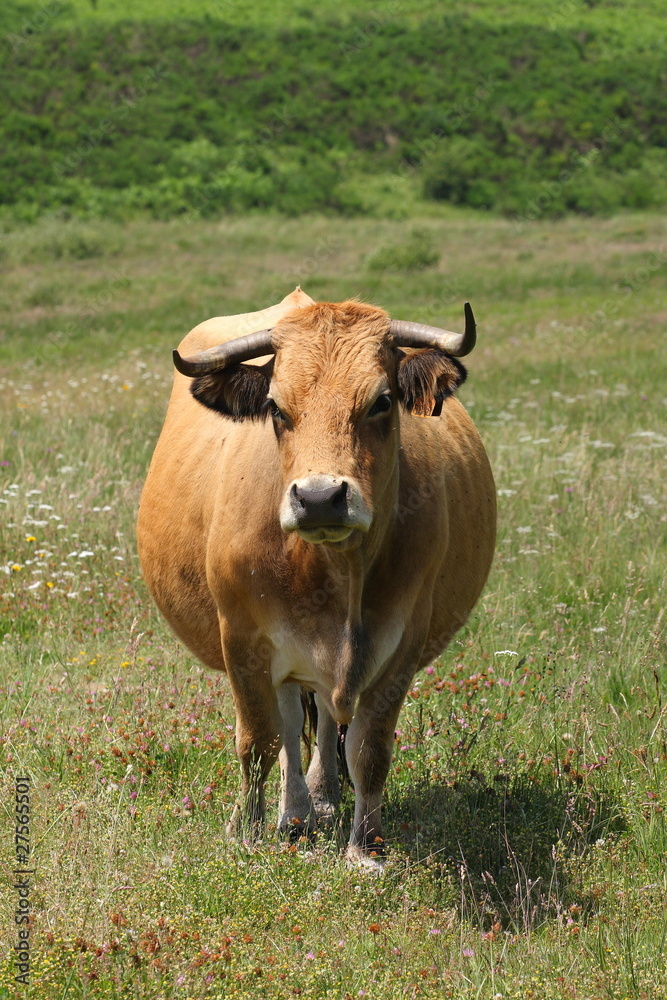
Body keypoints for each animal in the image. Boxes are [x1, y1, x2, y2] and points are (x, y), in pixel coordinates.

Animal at [138, 288, 496, 868]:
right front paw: (248, 831)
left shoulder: (403, 642)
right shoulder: (242, 639)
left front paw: (365, 847)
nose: (321, 497)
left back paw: (321, 801)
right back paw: (295, 814)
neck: (335, 572)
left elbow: (369, 748)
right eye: (275, 407)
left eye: (381, 401)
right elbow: (259, 740)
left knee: (326, 720)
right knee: (286, 723)